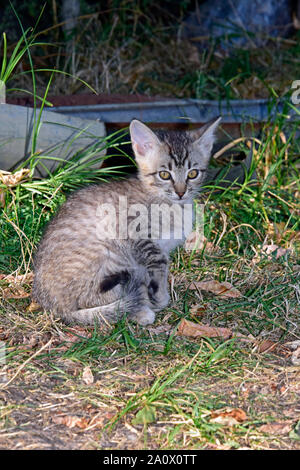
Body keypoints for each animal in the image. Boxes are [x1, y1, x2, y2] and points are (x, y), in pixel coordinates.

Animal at [32, 115, 220, 324]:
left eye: (193, 173)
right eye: (164, 175)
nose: (181, 192)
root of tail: (51, 306)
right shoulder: (139, 235)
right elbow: (159, 264)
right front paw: (160, 297)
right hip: (110, 251)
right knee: (90, 297)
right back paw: (137, 310)